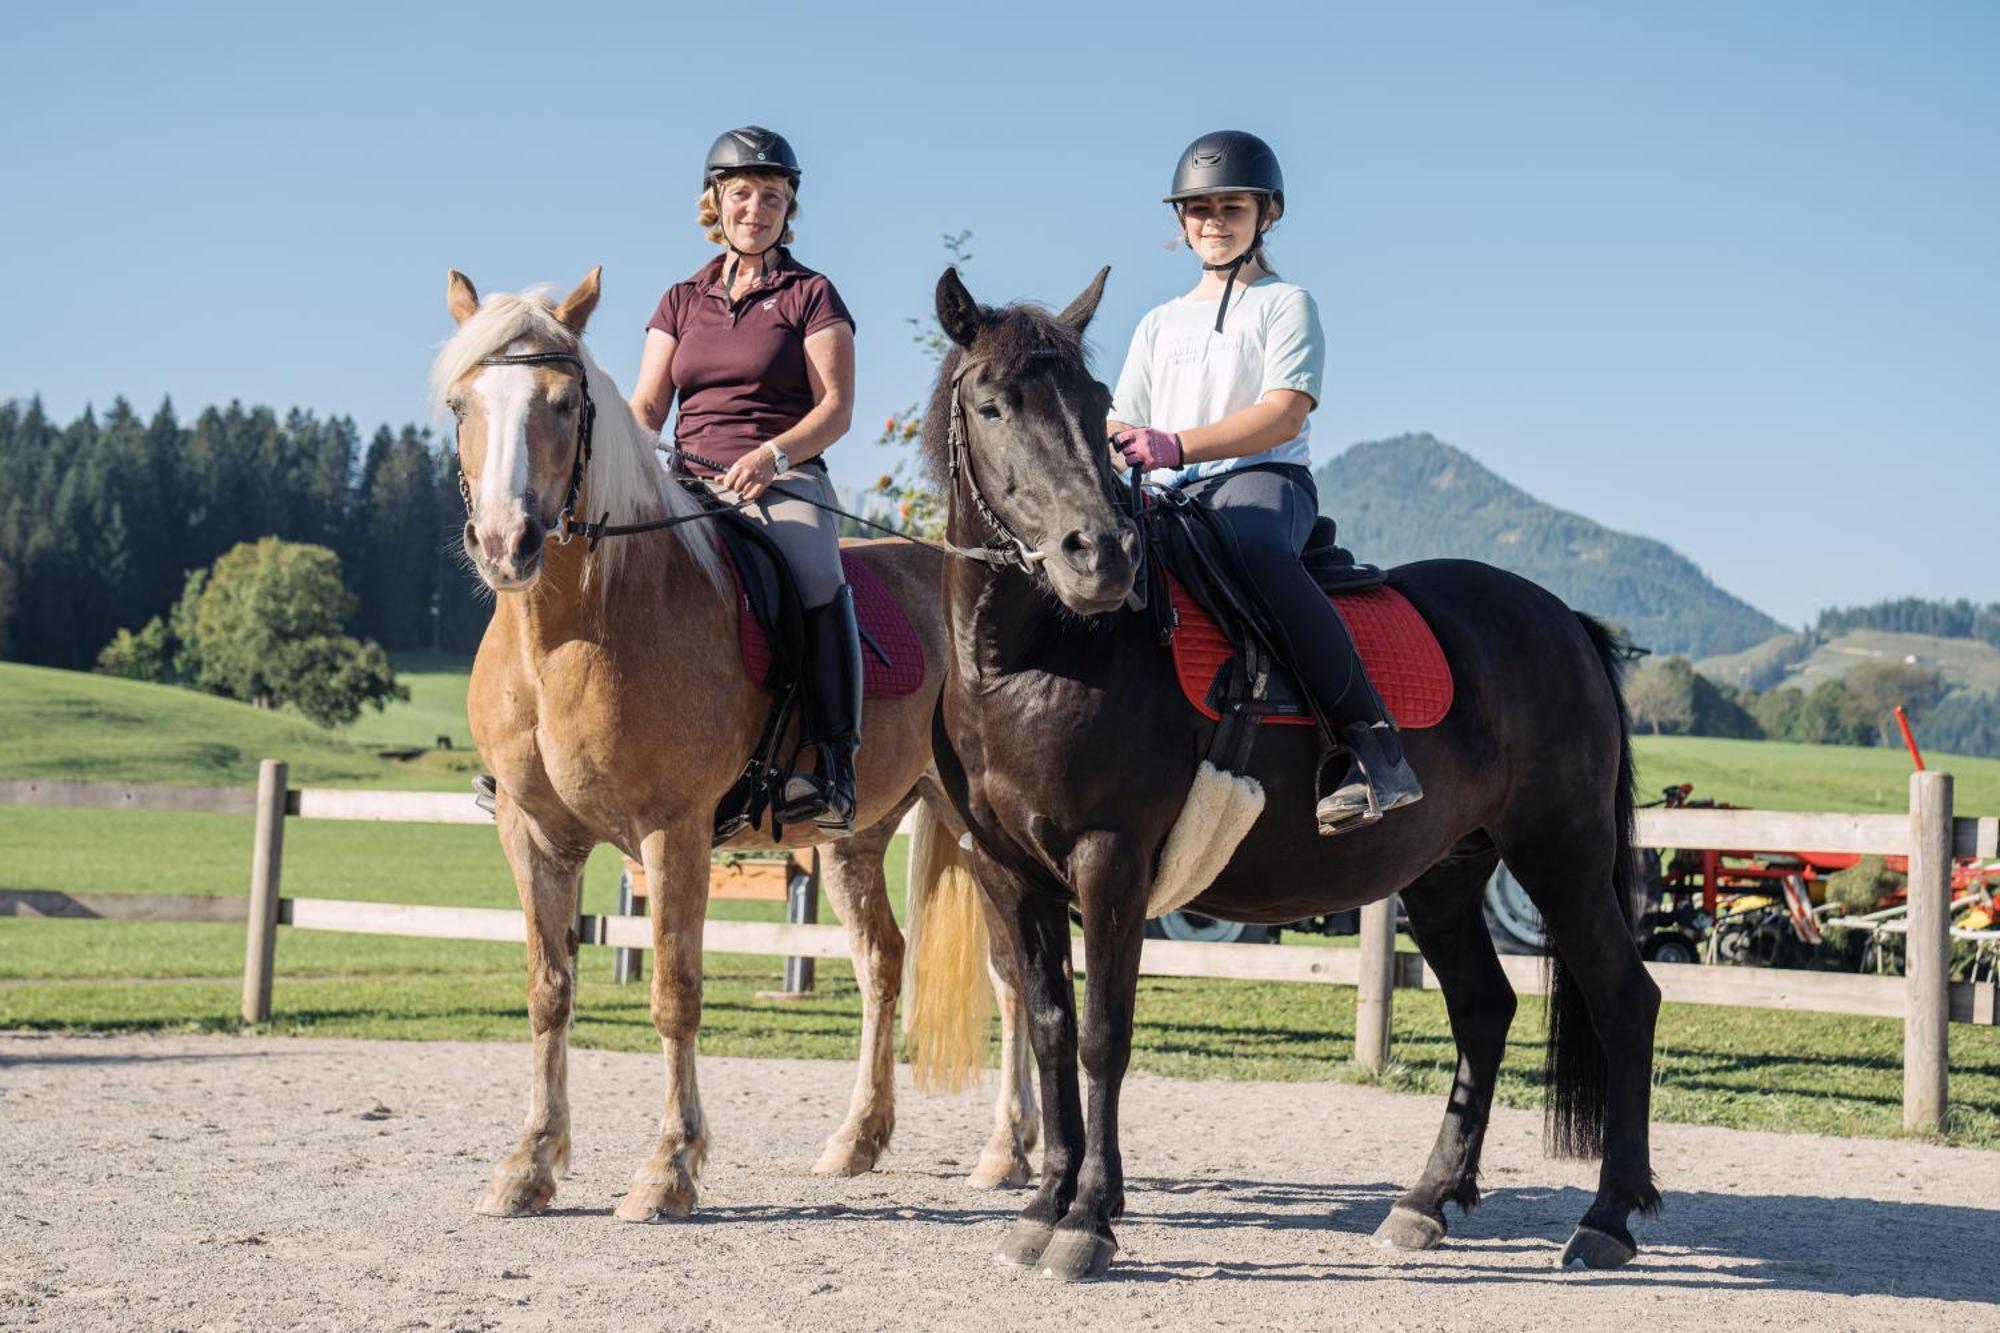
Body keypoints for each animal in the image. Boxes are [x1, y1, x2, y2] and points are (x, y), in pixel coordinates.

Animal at [434, 262, 1032, 1216]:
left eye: (564, 403)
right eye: (462, 405)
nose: (505, 542)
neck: (570, 630)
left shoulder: (671, 830)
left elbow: (675, 992)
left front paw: (667, 1167)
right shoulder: (532, 833)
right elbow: (549, 990)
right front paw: (528, 1164)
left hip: (976, 831)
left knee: (1014, 976)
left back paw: (1009, 1150)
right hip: (856, 836)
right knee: (883, 962)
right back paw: (856, 1140)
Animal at [916, 268, 1664, 1280]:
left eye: (1098, 405)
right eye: (992, 404)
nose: (1101, 555)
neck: (1033, 657)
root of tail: (1564, 622)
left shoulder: (1112, 862)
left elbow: (1105, 1036)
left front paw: (1089, 1221)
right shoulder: (1008, 873)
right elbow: (1049, 1030)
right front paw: (1042, 1205)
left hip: (1562, 856)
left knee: (1624, 1000)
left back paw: (1608, 1216)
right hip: (1446, 873)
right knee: (1484, 1007)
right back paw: (1425, 1202)